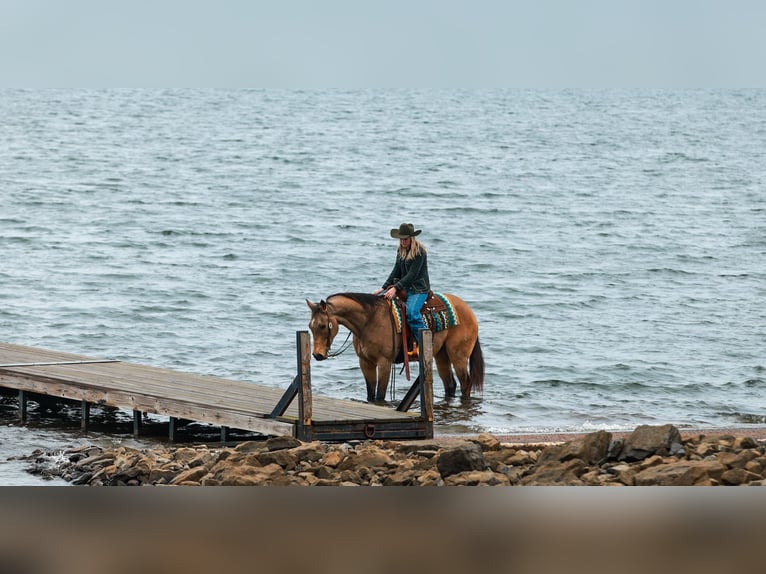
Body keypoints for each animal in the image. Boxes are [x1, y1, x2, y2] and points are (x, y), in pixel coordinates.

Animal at [306, 292, 484, 403]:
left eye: (322, 325)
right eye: (310, 326)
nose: (317, 355)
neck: (369, 321)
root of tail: (469, 311)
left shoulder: (384, 362)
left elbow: (380, 394)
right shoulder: (365, 362)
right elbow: (371, 394)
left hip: (458, 356)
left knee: (465, 384)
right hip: (441, 355)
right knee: (450, 384)